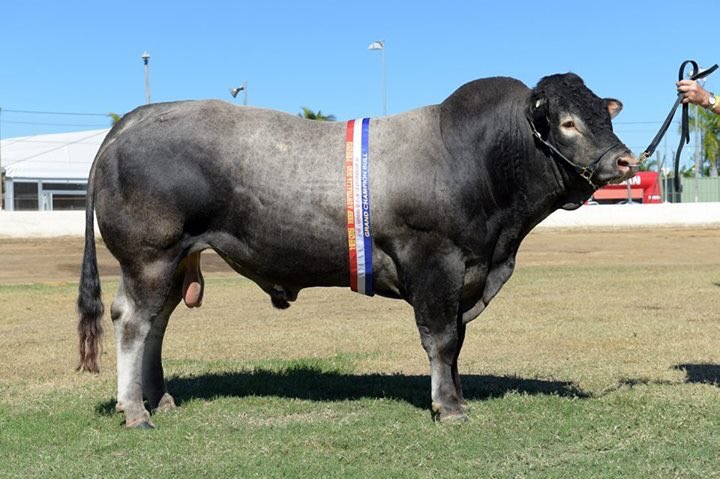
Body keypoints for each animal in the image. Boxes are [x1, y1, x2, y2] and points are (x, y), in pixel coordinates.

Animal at [77, 72, 638, 428]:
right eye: (567, 123)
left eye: (603, 116)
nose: (625, 160)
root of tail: (135, 118)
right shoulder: (435, 263)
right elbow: (441, 340)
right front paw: (449, 408)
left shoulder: (467, 274)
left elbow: (456, 342)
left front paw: (454, 395)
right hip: (151, 255)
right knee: (133, 321)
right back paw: (135, 411)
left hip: (175, 263)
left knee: (157, 324)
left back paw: (159, 400)